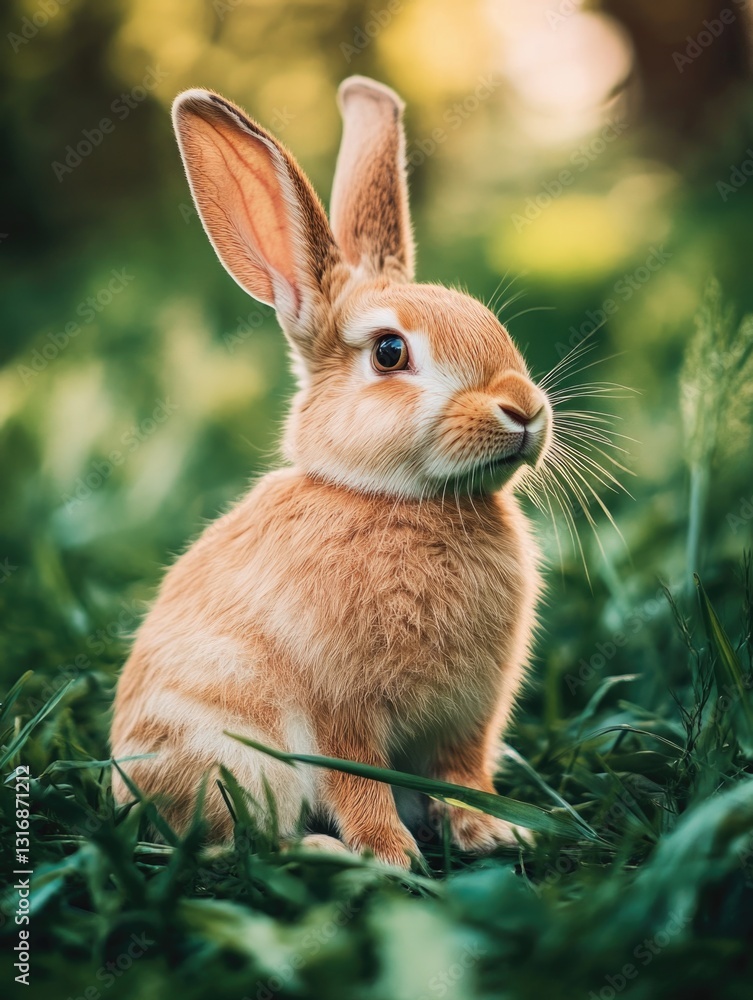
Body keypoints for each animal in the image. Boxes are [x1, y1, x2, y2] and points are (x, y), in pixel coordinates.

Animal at [110, 75, 552, 868]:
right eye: (388, 352)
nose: (525, 410)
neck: (396, 500)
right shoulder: (338, 712)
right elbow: (359, 785)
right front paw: (393, 857)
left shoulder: (466, 721)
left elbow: (461, 776)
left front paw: (493, 832)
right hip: (239, 758)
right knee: (244, 844)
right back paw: (331, 853)